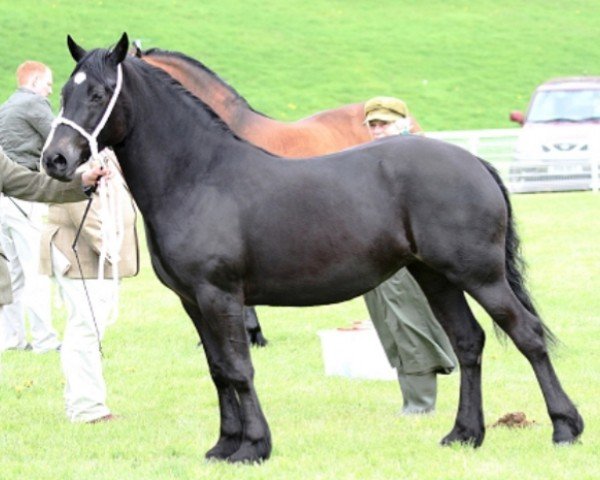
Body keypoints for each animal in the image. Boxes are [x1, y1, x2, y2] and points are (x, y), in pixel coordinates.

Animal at [44, 32, 584, 462]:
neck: (197, 175)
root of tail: (475, 163)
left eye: (97, 93)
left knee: (528, 334)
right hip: (436, 276)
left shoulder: (221, 295)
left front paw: (254, 446)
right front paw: (224, 444)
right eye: (63, 94)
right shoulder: (193, 301)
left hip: (480, 275)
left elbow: (239, 369)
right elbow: (217, 370)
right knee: (469, 342)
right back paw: (465, 434)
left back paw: (565, 427)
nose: (55, 159)